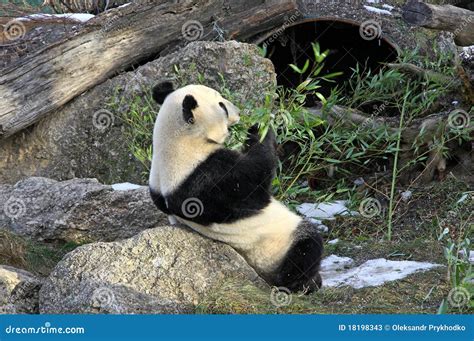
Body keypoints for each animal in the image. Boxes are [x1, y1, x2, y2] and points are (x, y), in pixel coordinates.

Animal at [150, 81, 324, 290]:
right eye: (221, 106)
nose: (239, 113)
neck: (176, 141)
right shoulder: (206, 177)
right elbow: (256, 177)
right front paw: (260, 128)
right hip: (278, 245)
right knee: (306, 248)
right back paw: (306, 283)